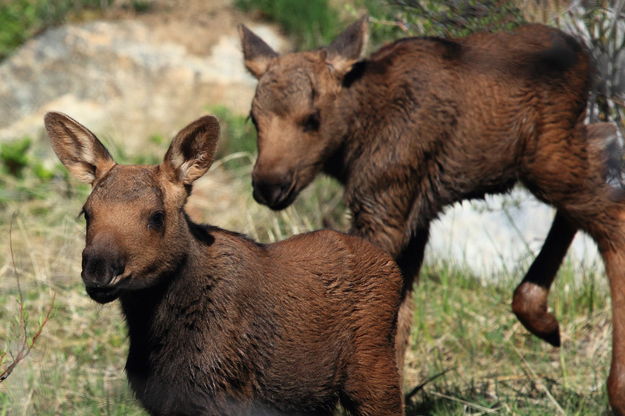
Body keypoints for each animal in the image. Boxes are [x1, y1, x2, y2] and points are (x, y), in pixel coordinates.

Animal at [45, 111, 404, 416]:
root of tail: (390, 265)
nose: (99, 270)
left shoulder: (222, 398)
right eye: (87, 212)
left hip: (375, 373)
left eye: (156, 216)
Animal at [241, 17, 624, 414]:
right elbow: (400, 320)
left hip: (545, 156)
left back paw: (616, 387)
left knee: (612, 206)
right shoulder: (412, 218)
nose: (269, 184)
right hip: (555, 152)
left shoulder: (385, 205)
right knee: (602, 146)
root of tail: (585, 57)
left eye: (312, 119)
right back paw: (540, 315)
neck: (354, 137)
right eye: (253, 118)